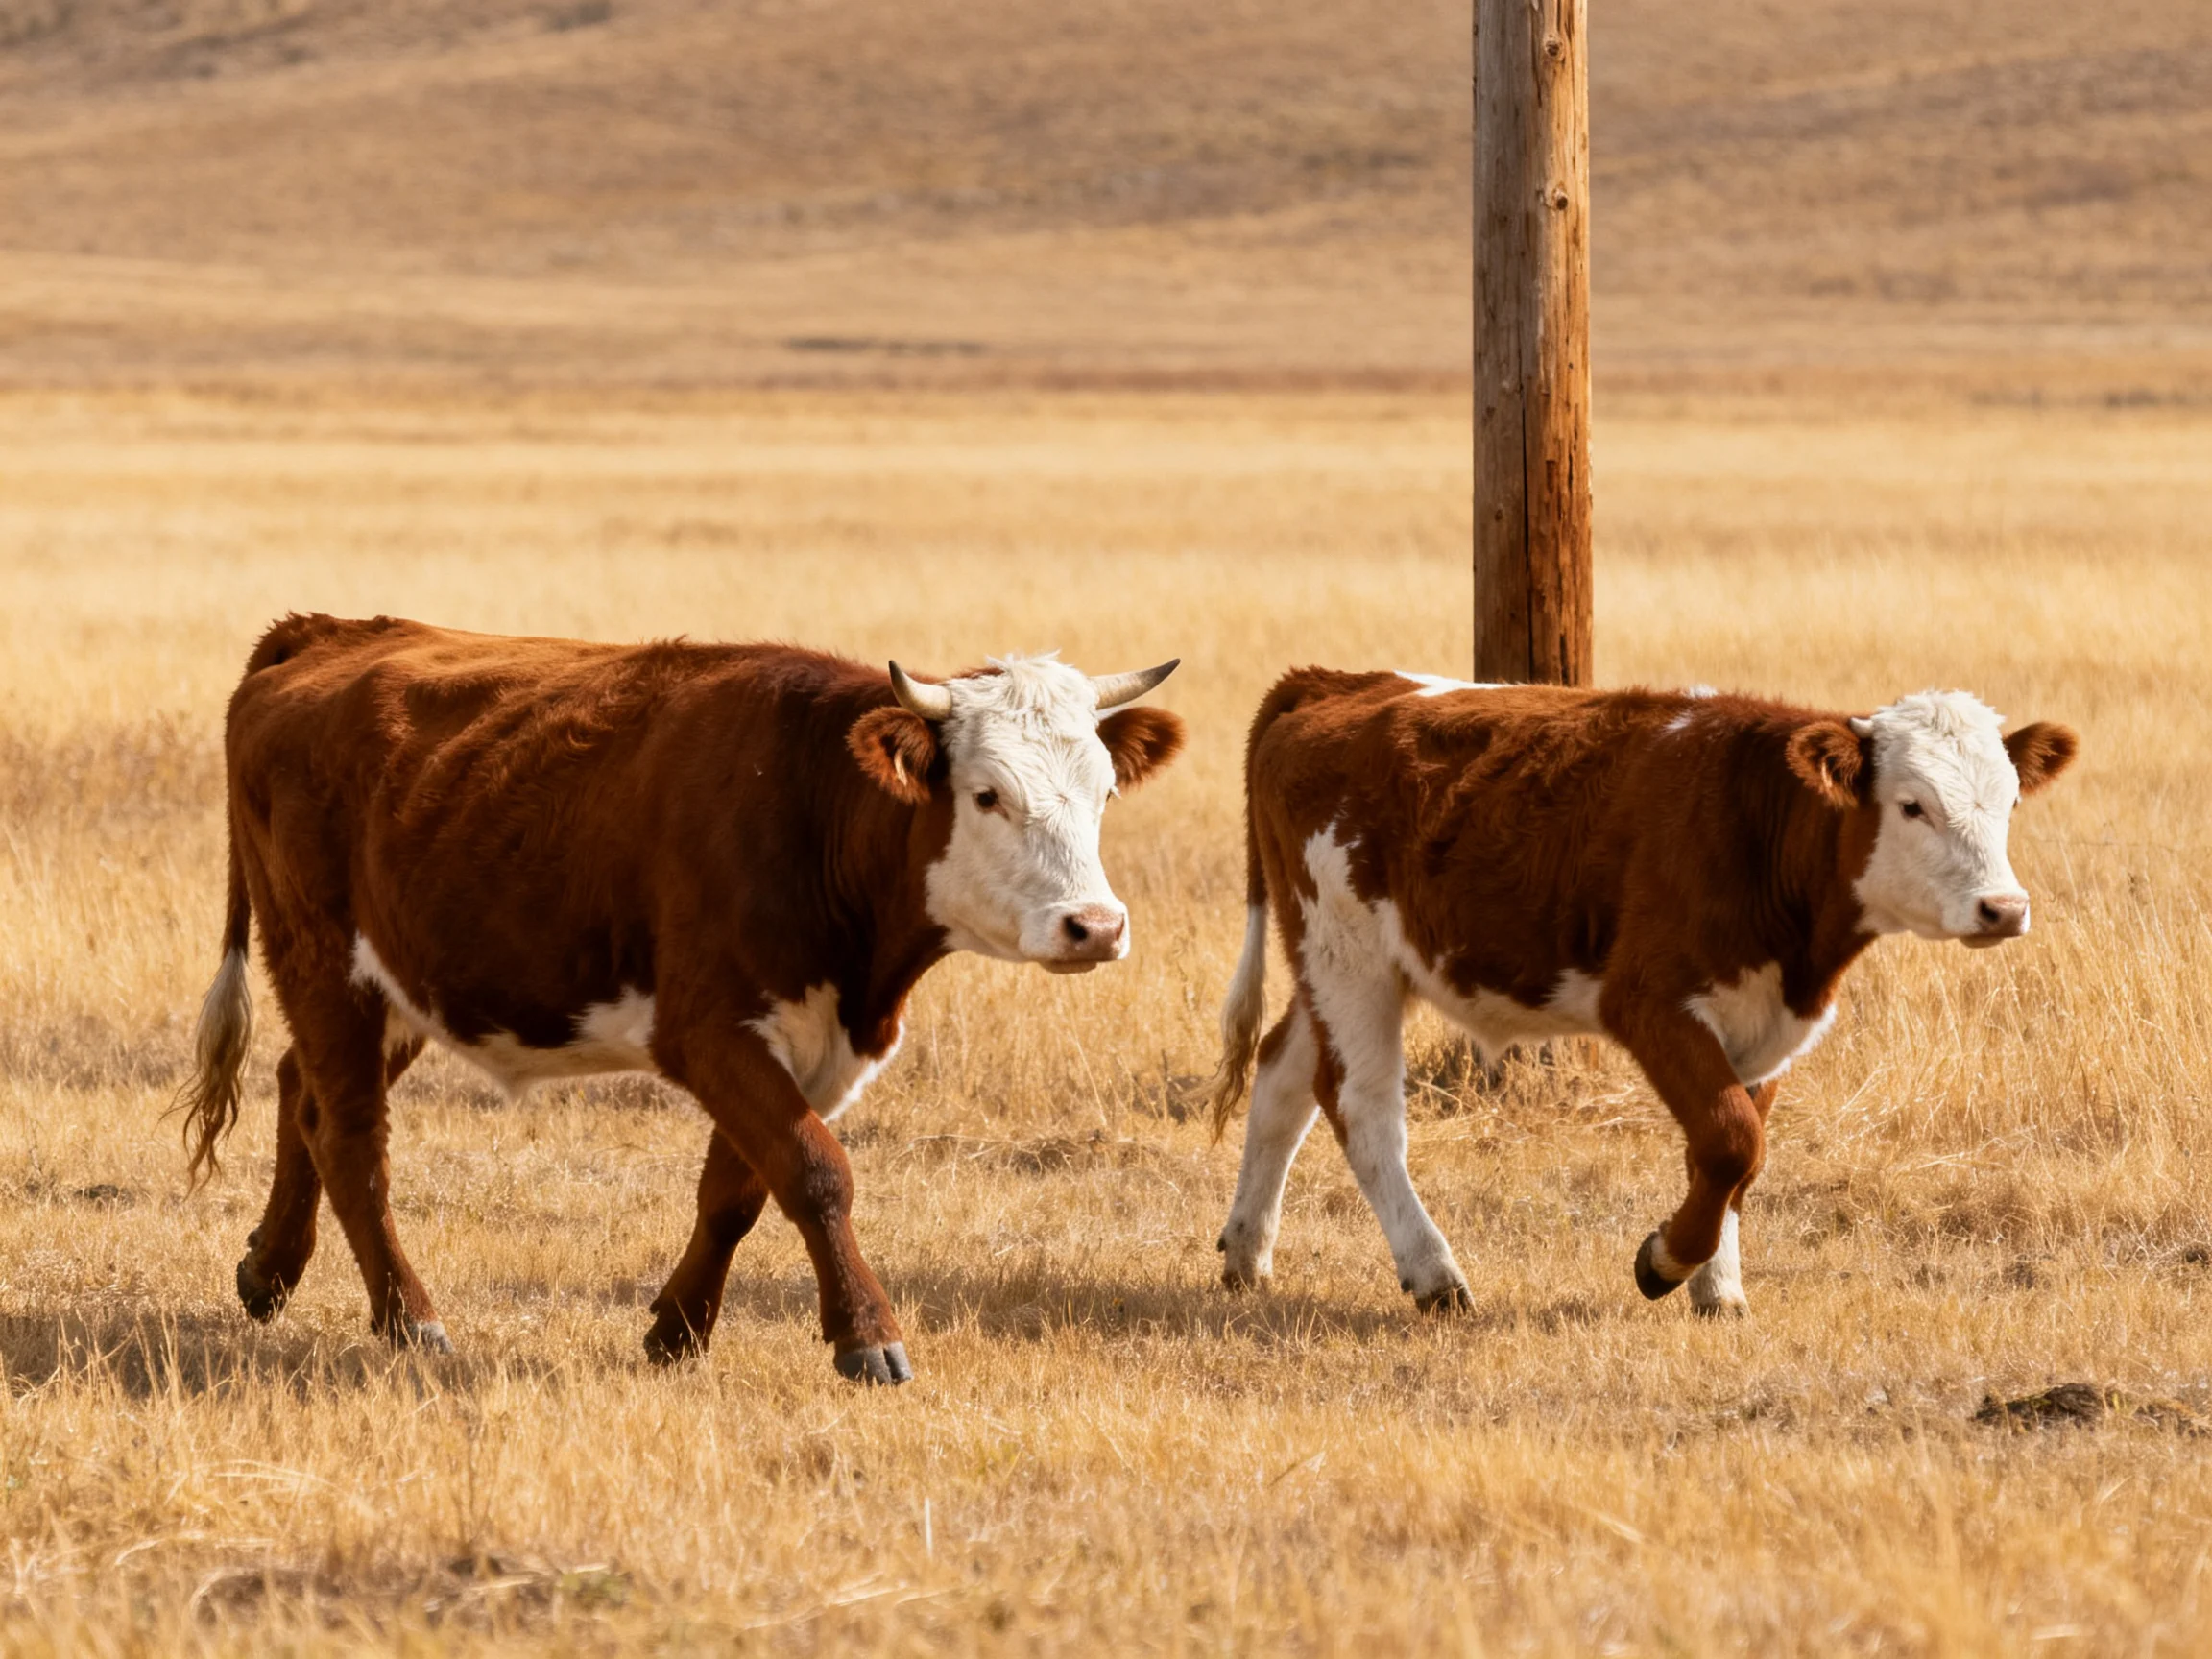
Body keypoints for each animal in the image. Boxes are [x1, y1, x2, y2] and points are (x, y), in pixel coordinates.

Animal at [174, 614, 1185, 1384]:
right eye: (986, 795)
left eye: (1102, 793)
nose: (1094, 926)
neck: (808, 800)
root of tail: (326, 633)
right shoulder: (709, 1032)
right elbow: (815, 1172)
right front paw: (866, 1337)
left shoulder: (814, 1046)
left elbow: (737, 1189)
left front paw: (678, 1328)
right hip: (322, 962)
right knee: (352, 1140)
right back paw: (408, 1320)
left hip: (399, 984)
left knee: (300, 1092)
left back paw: (270, 1269)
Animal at [1204, 673, 2077, 1316]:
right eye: (1911, 805)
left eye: (2008, 802)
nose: (2004, 908)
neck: (1752, 822)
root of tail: (1334, 683)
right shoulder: (1649, 1002)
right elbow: (1730, 1140)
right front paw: (1664, 1262)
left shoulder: (1763, 1023)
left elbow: (1730, 1150)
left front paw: (1717, 1287)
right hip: (1346, 957)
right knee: (1361, 1108)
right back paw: (1434, 1275)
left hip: (1341, 966)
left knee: (1282, 1076)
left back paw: (1247, 1251)